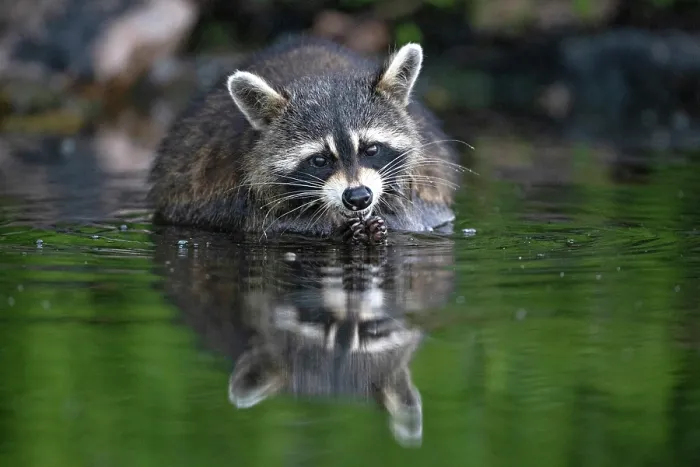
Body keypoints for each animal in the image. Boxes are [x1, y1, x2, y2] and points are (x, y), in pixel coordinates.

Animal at [148, 35, 462, 244]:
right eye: (319, 160)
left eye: (371, 149)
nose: (358, 197)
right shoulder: (231, 192)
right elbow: (269, 225)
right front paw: (328, 226)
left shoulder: (427, 186)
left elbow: (420, 218)